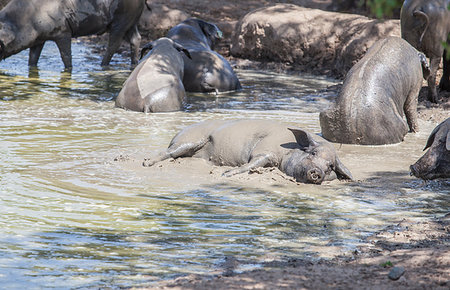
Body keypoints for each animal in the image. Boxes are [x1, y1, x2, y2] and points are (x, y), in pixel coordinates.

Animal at [0, 0, 148, 68]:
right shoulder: (39, 39)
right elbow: (32, 58)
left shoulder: (63, 31)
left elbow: (65, 55)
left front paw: (69, 68)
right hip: (131, 20)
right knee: (136, 38)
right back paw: (134, 64)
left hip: (121, 19)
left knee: (114, 43)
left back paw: (102, 65)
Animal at [142, 119, 354, 184]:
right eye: (312, 154)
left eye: (330, 166)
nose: (317, 172)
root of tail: (179, 132)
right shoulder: (265, 150)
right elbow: (253, 162)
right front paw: (227, 174)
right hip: (189, 140)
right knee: (169, 152)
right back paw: (146, 163)